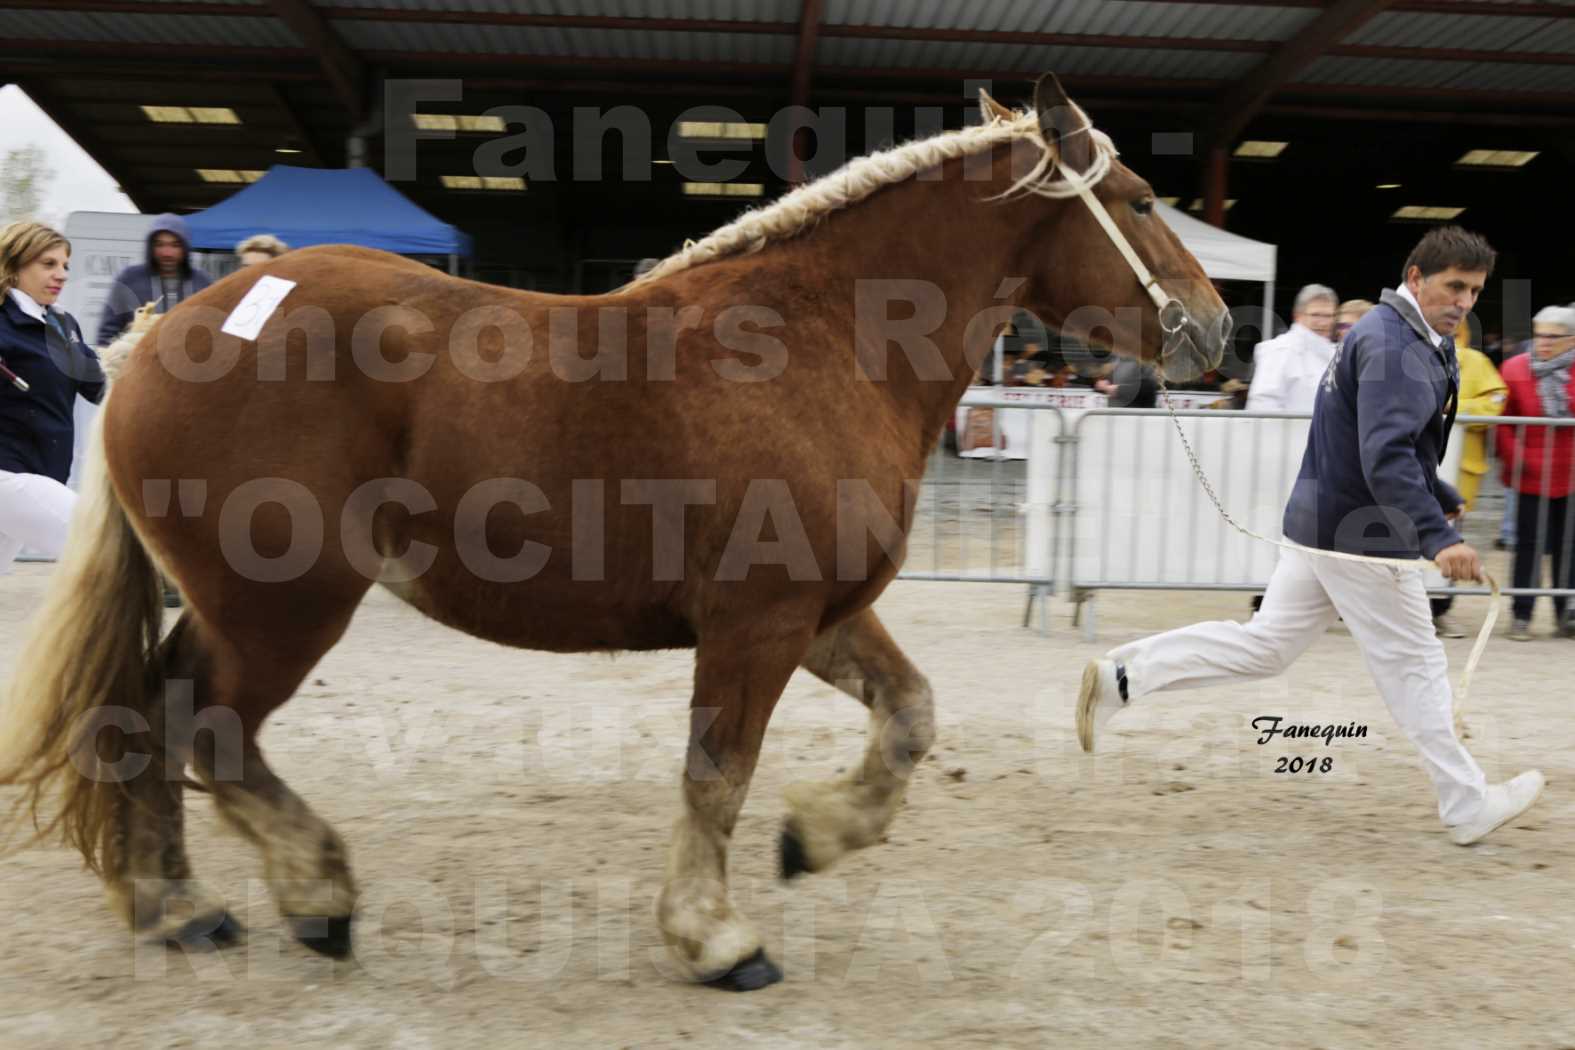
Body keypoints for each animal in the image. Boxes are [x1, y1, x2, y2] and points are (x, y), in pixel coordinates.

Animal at [0, 77, 1228, 988]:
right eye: (1141, 198)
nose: (1213, 327)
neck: (824, 340)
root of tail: (160, 338)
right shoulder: (756, 625)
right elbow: (716, 775)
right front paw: (716, 938)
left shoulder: (821, 615)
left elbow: (909, 719)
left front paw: (816, 836)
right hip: (282, 608)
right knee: (203, 727)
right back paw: (314, 896)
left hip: (239, 606)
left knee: (148, 714)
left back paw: (179, 906)